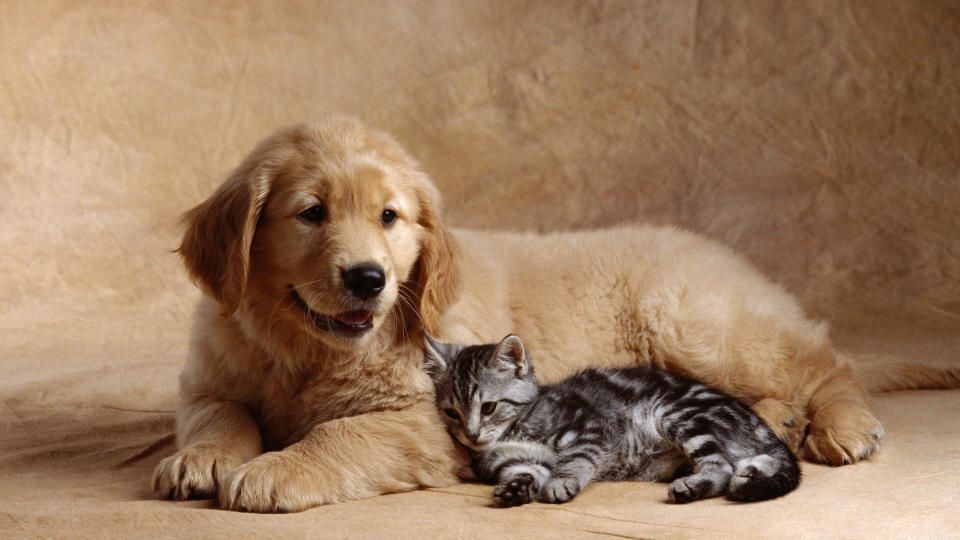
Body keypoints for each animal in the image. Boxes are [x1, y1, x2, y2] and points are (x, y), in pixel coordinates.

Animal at [426, 334, 804, 506]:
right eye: (452, 412)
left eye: (488, 407)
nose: (472, 435)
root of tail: (753, 418)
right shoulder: (520, 461)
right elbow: (527, 471)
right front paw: (515, 489)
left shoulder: (592, 428)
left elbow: (575, 459)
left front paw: (562, 482)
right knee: (749, 462)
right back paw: (750, 473)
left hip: (679, 413)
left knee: (721, 466)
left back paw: (694, 486)